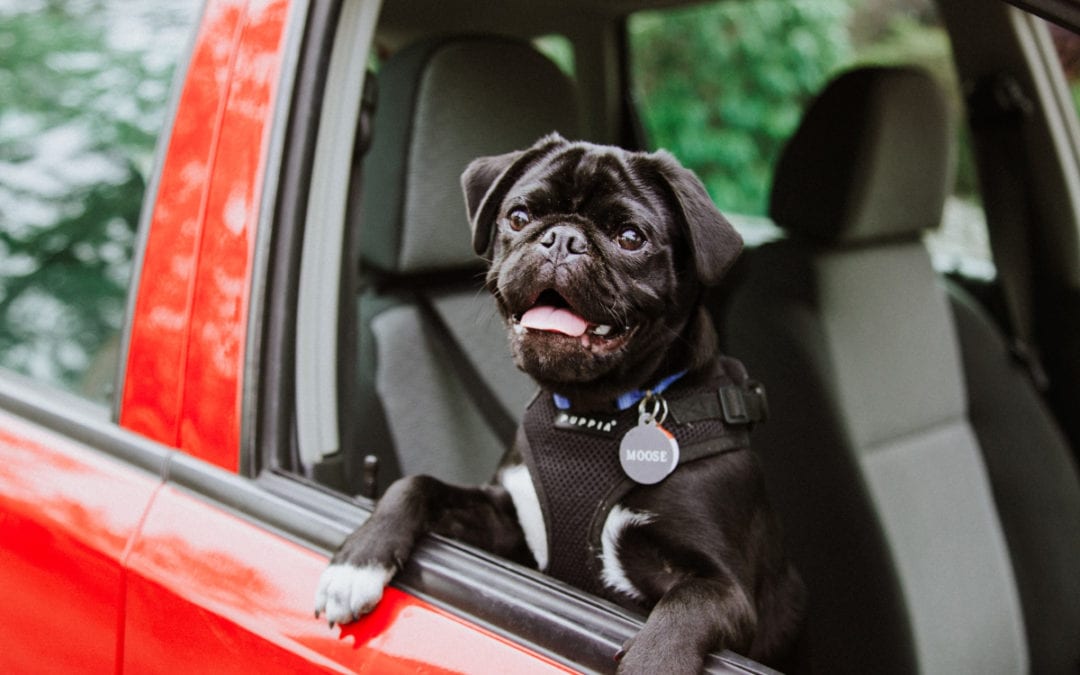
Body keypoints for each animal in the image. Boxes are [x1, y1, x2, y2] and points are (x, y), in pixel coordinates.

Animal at [313, 134, 803, 669]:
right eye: (519, 217)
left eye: (630, 237)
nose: (563, 239)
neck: (595, 412)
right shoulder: (508, 525)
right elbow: (415, 485)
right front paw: (359, 559)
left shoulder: (724, 586)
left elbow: (686, 605)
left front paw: (651, 662)